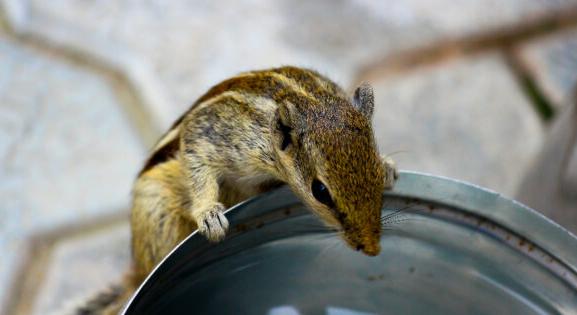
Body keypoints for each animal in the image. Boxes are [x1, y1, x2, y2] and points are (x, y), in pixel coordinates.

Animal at [75, 65, 396, 314]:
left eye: (375, 173)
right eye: (320, 191)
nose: (372, 249)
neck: (310, 100)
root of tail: (137, 271)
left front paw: (390, 167)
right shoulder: (216, 135)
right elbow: (197, 160)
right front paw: (209, 215)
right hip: (157, 213)